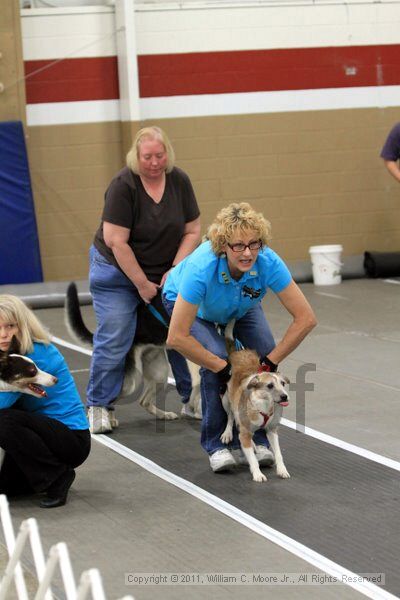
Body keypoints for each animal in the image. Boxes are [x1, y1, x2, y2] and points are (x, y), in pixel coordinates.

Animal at [66, 282, 203, 420]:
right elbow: (198, 385)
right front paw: (196, 408)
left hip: (160, 374)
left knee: (143, 401)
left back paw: (164, 414)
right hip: (132, 381)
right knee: (109, 398)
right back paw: (106, 420)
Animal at [220, 346, 290, 482]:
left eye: (283, 383)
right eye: (270, 385)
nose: (285, 396)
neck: (263, 406)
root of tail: (239, 350)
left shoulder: (272, 431)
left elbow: (279, 453)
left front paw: (282, 470)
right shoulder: (245, 433)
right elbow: (252, 459)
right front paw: (258, 474)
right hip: (226, 400)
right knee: (230, 417)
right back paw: (227, 433)